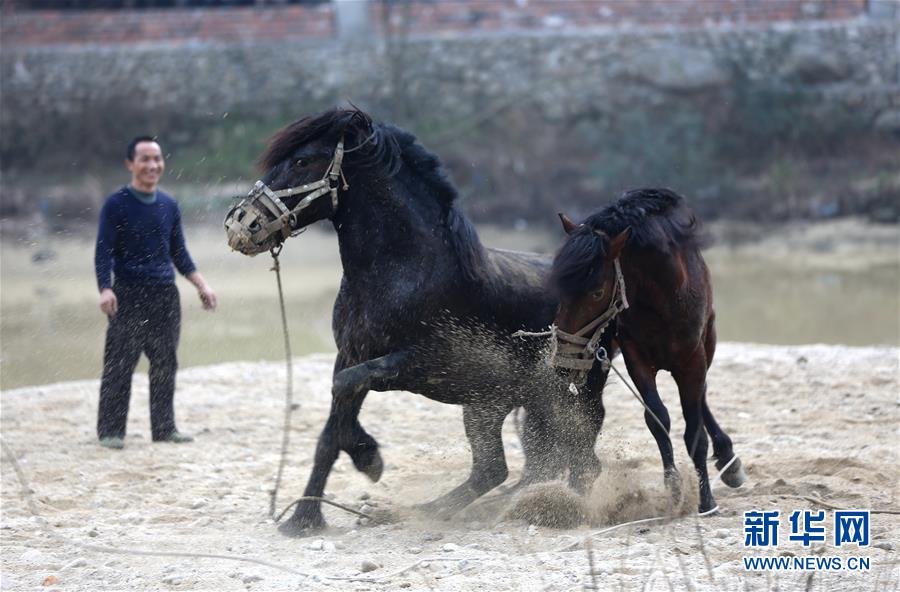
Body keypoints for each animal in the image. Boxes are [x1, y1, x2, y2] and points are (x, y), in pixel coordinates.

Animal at [225, 107, 608, 536]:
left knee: (574, 461)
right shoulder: (350, 353)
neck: (403, 270)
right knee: (506, 467)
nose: (239, 224)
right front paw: (303, 518)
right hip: (498, 403)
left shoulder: (424, 363)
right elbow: (330, 430)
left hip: (556, 397)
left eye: (301, 161)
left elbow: (347, 388)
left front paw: (369, 460)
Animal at [548, 188, 744, 512]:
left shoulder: (692, 359)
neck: (662, 299)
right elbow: (657, 418)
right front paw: (673, 488)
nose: (563, 361)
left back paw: (728, 458)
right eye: (559, 287)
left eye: (597, 292)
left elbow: (694, 430)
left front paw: (706, 500)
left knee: (702, 396)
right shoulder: (636, 358)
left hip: (708, 342)